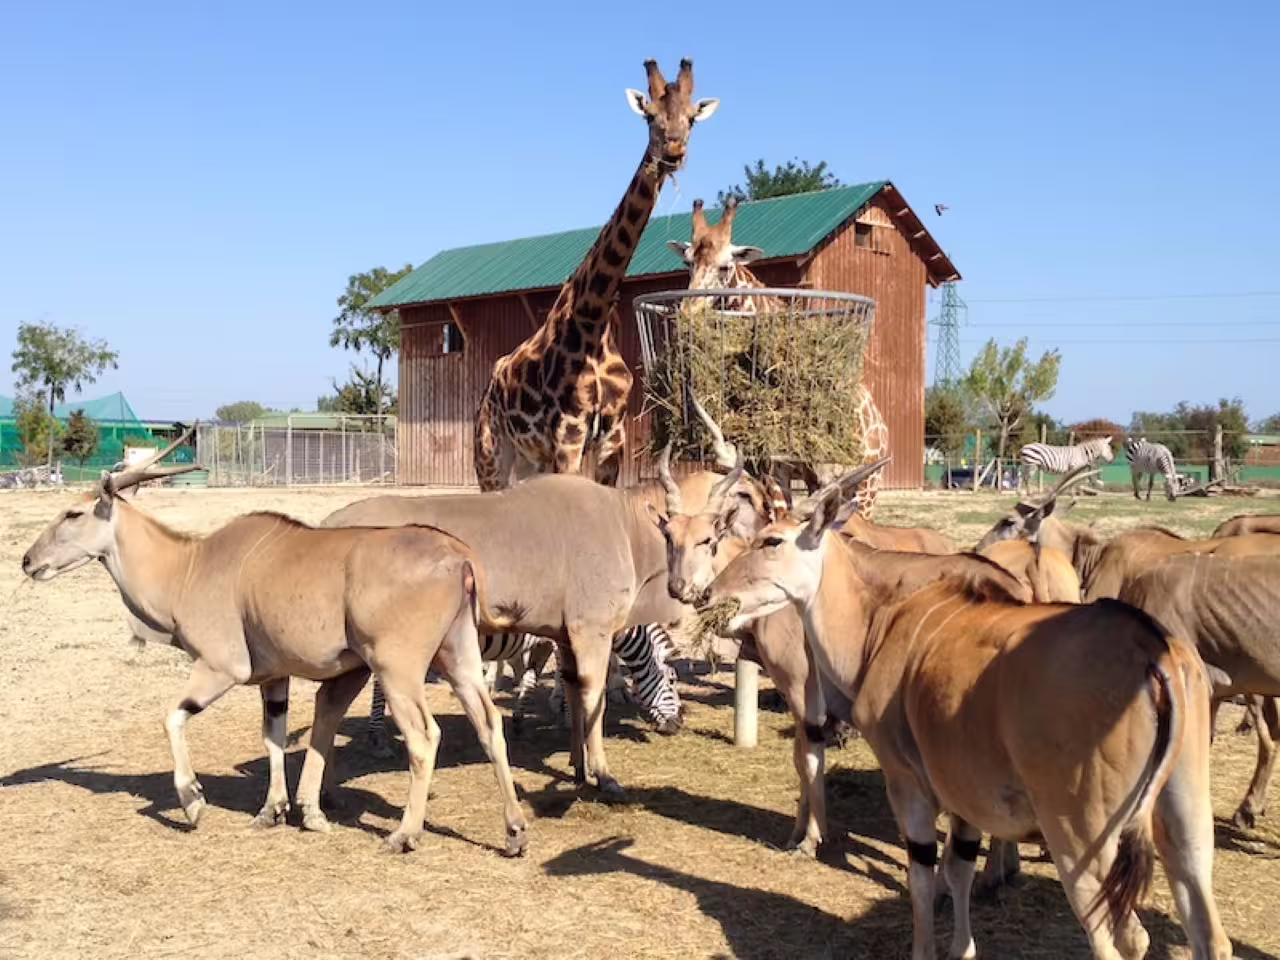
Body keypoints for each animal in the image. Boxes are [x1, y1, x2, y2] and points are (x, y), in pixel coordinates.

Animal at [473, 59, 720, 491]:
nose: (673, 151)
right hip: (492, 454)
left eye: (691, 118)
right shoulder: (568, 433)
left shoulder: (612, 436)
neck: (593, 316)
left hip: (530, 458)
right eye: (650, 117)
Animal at [666, 196, 891, 518]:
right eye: (687, 263)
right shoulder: (769, 466)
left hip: (868, 483)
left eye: (725, 267)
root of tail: (882, 427)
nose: (688, 312)